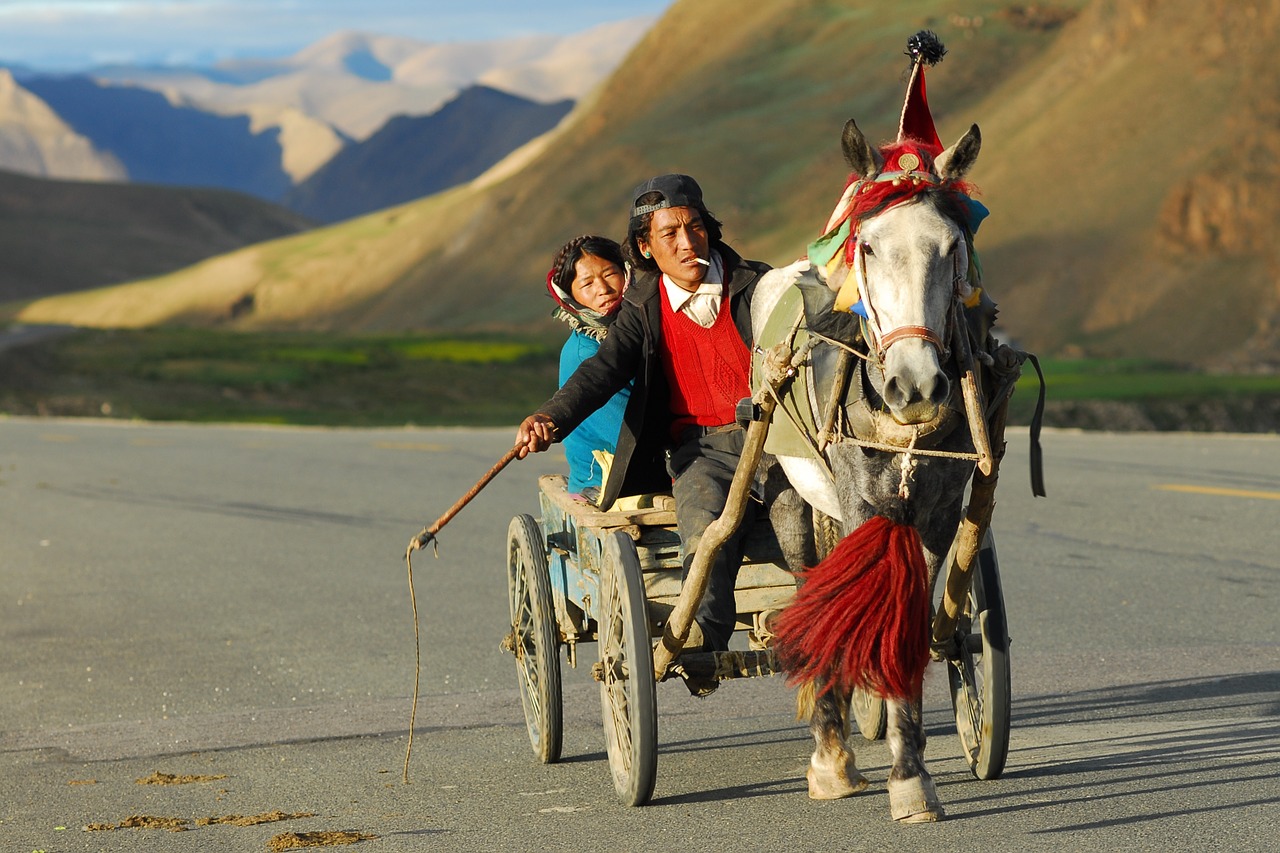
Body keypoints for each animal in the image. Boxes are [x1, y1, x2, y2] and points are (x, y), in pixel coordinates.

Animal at [752, 116, 993, 819]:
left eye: (952, 246)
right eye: (868, 246)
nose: (915, 387)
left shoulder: (936, 519)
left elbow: (906, 624)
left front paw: (912, 777)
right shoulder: (863, 507)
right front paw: (880, 767)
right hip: (791, 502)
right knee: (812, 596)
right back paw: (831, 755)